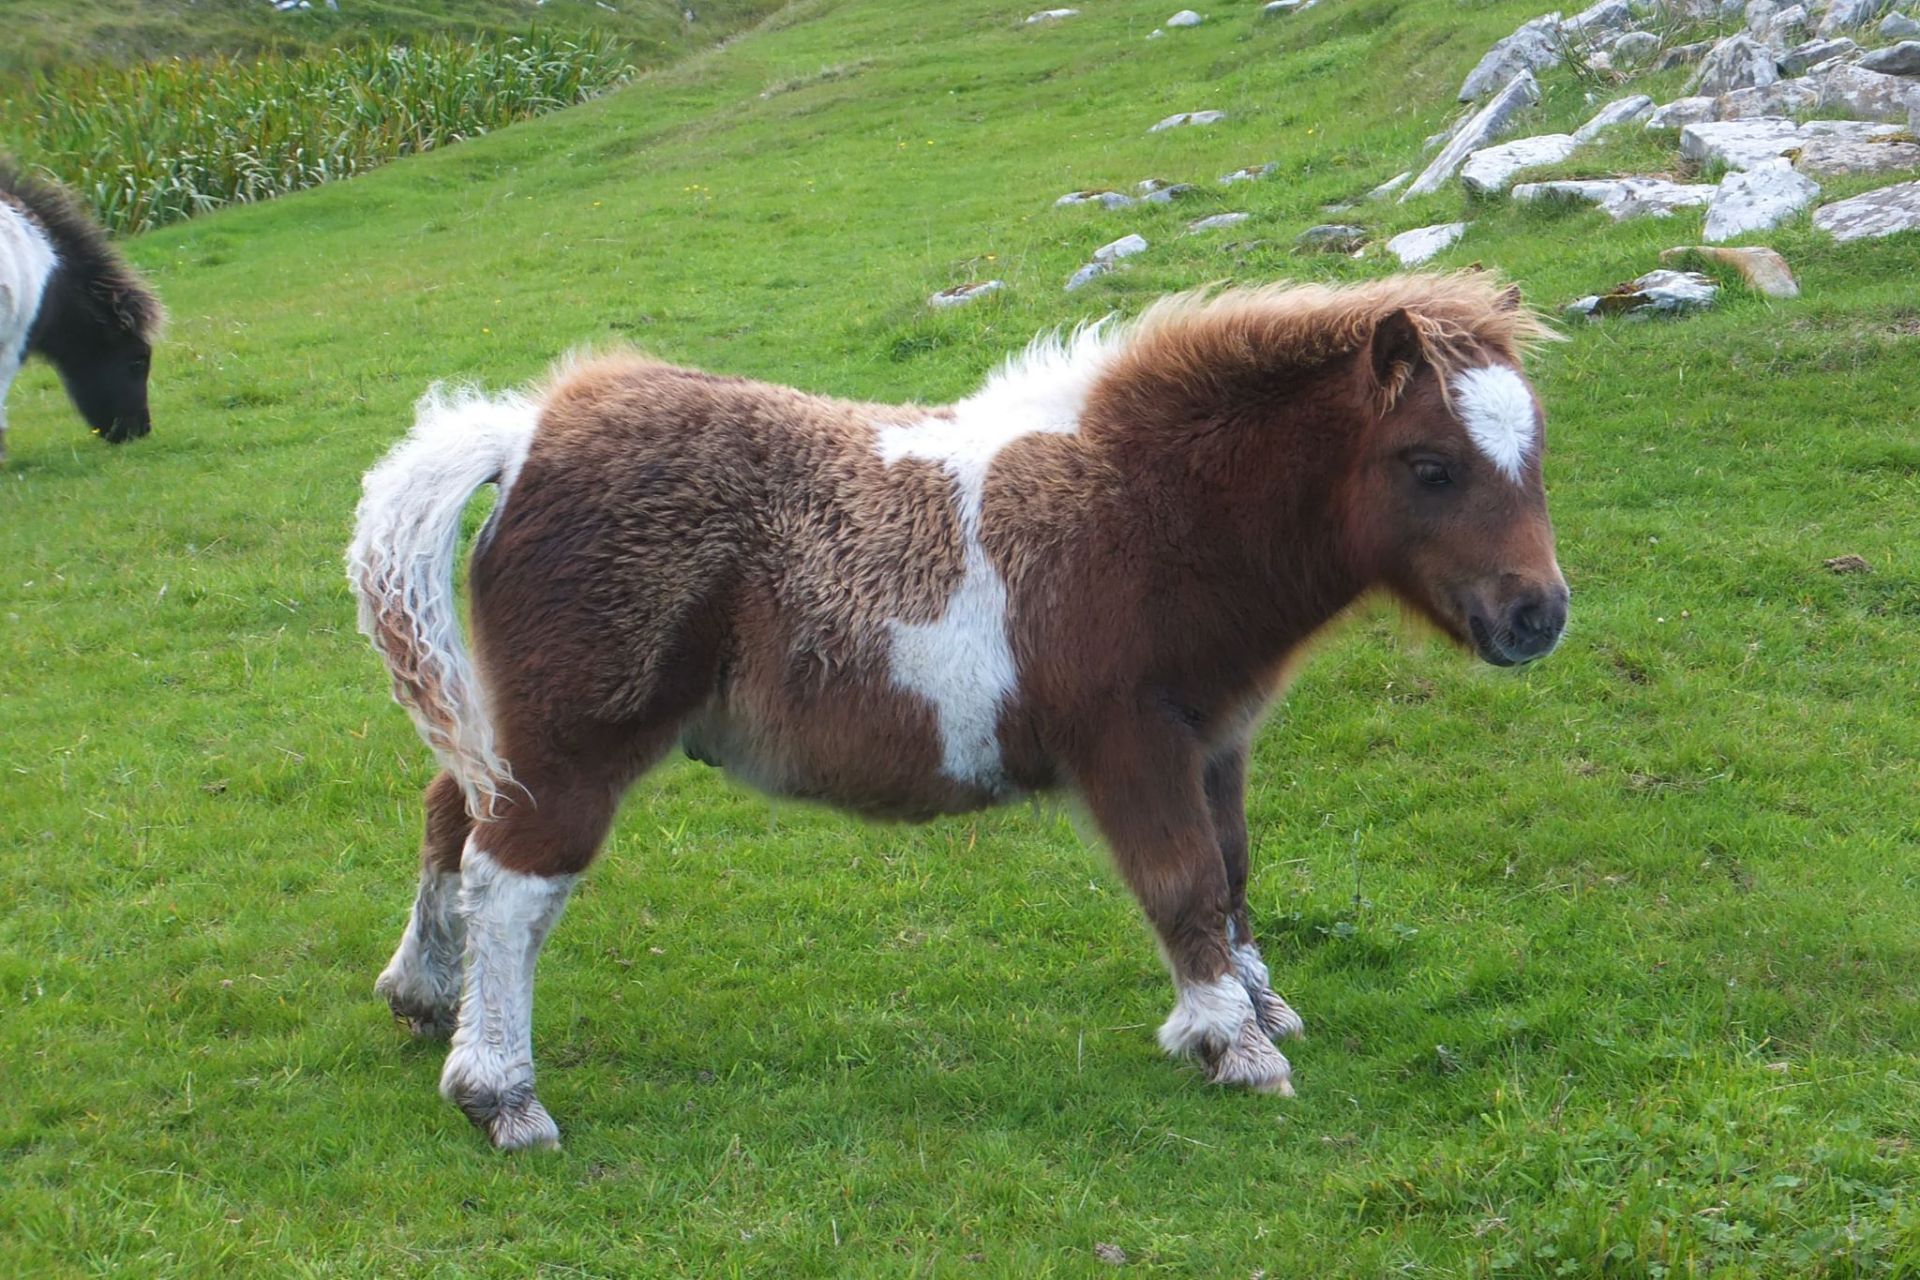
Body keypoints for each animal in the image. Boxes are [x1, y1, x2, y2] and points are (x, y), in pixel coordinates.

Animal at [353, 272, 1566, 1151]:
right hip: (578, 743)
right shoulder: (1132, 743)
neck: (1144, 511)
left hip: (520, 730)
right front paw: (1233, 1044)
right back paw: (501, 1093)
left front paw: (1259, 1004)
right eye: (1429, 464)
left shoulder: (1217, 739)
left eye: (1536, 455)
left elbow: (1234, 875)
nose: (1538, 615)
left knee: (450, 816)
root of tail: (526, 438)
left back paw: (423, 994)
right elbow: (1184, 883)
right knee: (510, 880)